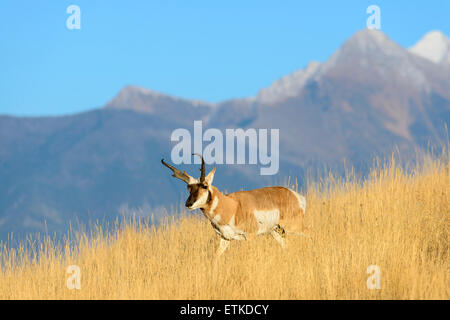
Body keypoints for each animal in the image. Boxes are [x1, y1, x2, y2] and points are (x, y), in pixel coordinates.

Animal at [160, 154, 308, 256]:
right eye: (189, 188)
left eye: (204, 186)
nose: (188, 204)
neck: (232, 207)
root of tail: (295, 195)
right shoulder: (224, 238)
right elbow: (216, 257)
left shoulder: (250, 236)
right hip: (276, 231)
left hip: (295, 228)